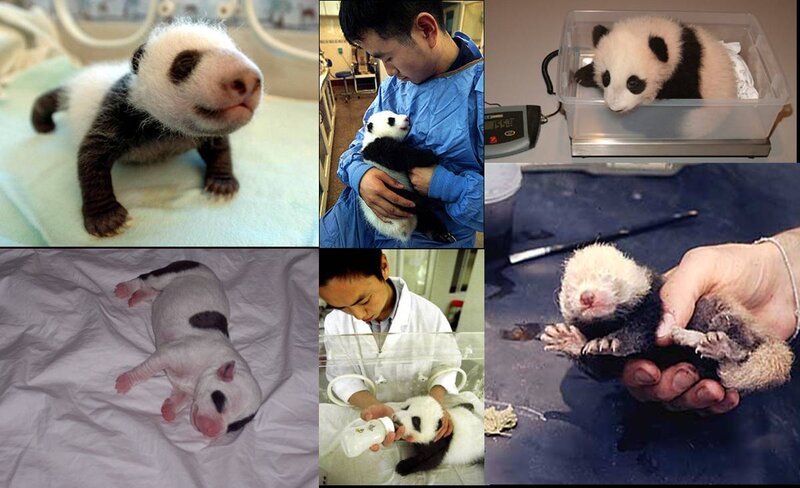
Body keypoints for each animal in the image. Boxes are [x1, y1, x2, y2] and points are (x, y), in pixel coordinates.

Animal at [30, 19, 263, 237]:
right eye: (185, 63)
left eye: (238, 51)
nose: (247, 78)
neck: (169, 129)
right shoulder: (120, 111)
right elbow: (92, 155)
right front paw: (107, 220)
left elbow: (219, 147)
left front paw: (222, 185)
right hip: (72, 92)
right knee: (53, 98)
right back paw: (42, 123)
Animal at [358, 111, 456, 244]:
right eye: (391, 119)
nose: (407, 119)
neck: (373, 136)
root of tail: (403, 231)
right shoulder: (377, 148)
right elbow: (399, 157)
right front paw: (430, 155)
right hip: (391, 194)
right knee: (414, 203)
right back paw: (424, 202)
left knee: (428, 219)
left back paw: (443, 235)